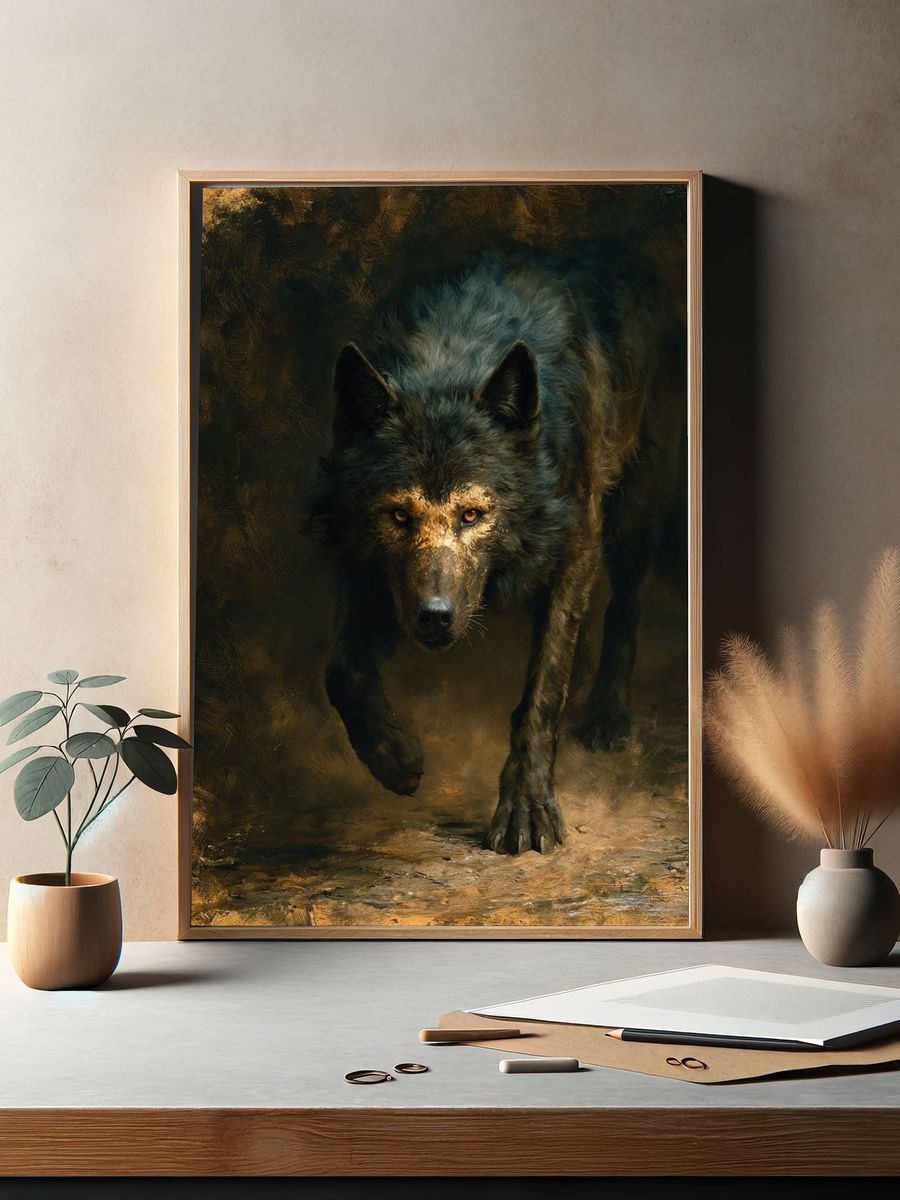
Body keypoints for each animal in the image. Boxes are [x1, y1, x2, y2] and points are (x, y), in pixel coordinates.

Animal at [310, 244, 685, 854]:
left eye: (472, 514)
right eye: (398, 515)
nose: (435, 617)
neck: (454, 355)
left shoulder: (573, 547)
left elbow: (540, 693)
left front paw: (527, 809)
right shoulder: (374, 572)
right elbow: (340, 670)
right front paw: (394, 757)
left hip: (635, 516)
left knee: (624, 608)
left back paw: (605, 717)